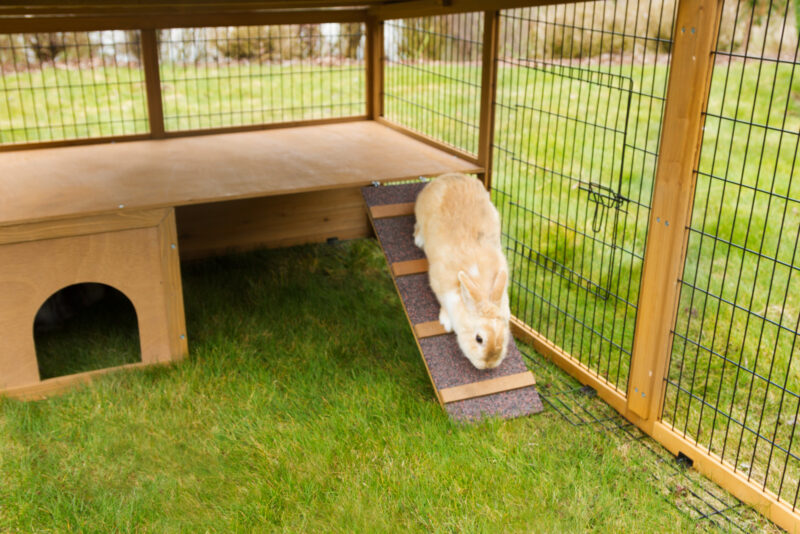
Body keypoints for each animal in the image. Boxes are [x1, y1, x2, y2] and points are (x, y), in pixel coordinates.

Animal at [412, 174, 512, 370]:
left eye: (503, 335)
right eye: (479, 339)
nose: (489, 365)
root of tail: (448, 177)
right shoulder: (438, 283)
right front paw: (446, 322)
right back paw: (419, 240)